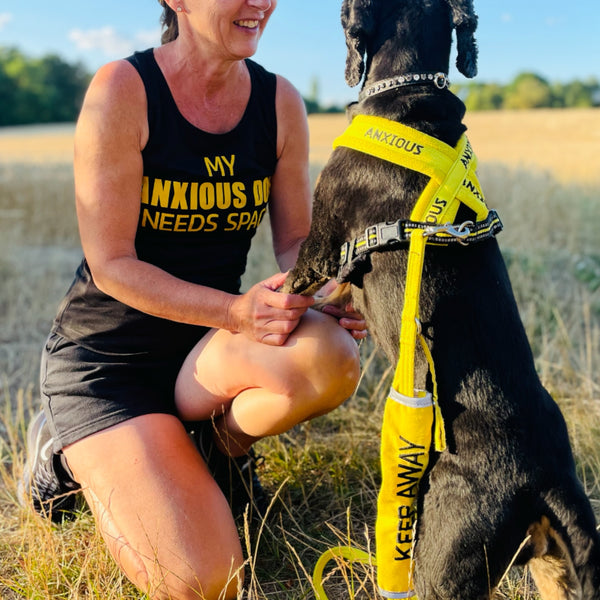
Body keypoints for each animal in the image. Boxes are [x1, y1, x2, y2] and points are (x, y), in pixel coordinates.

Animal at [282, 2, 600, 596]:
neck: (409, 95)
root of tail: (547, 477)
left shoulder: (320, 249)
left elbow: (286, 283)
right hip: (553, 566)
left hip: (440, 560)